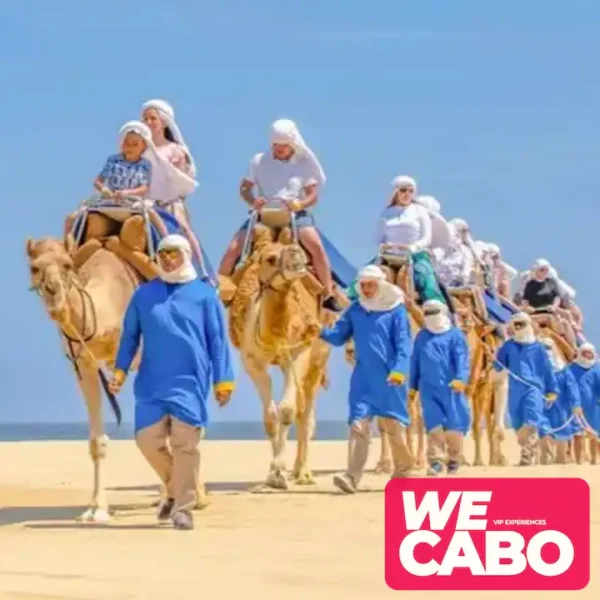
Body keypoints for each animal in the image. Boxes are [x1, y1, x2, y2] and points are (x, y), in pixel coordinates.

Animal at [219, 218, 342, 490]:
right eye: (270, 258)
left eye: (294, 250)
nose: (296, 255)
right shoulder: (252, 362)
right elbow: (270, 415)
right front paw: (274, 474)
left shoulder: (297, 353)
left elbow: (287, 411)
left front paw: (279, 469)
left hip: (319, 358)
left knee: (306, 412)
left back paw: (303, 473)